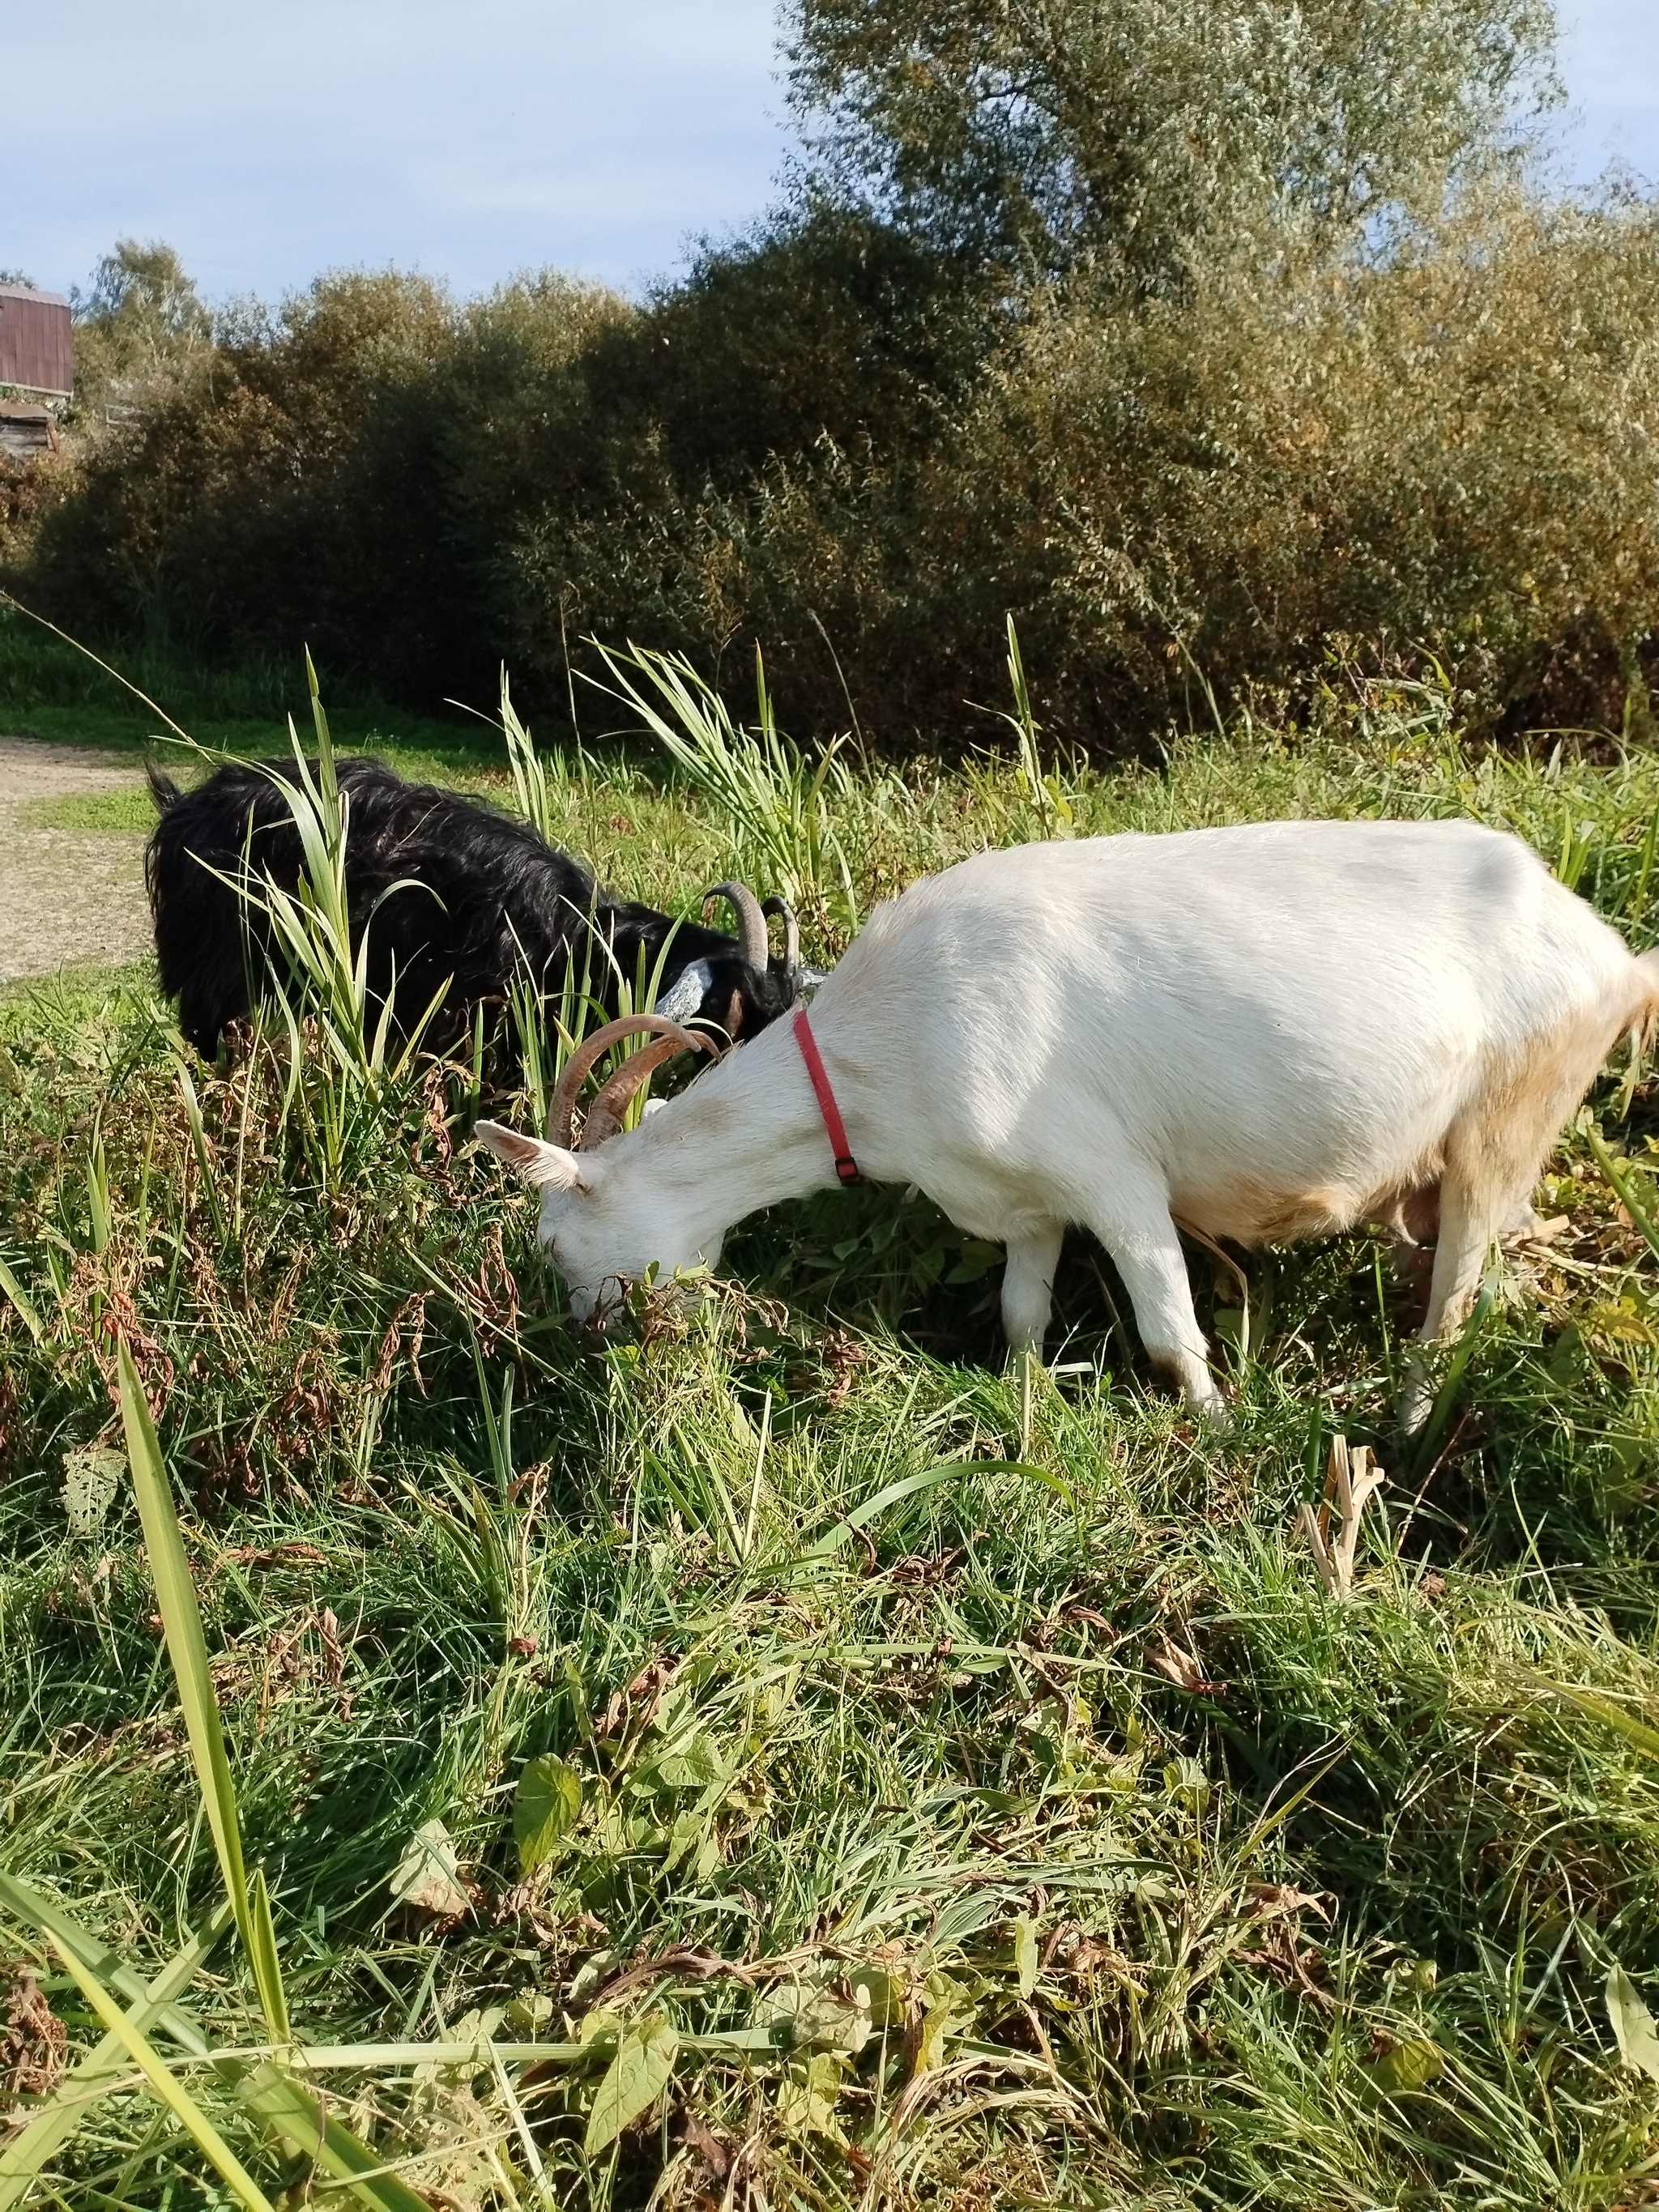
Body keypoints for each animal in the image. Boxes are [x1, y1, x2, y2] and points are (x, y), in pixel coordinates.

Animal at [471, 822, 1659, 1424]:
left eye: (554, 1242)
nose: (581, 1337)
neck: (876, 1050)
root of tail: (1606, 948)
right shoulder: (1021, 1196)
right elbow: (1021, 1312)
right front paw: (1024, 1401)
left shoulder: (1112, 1176)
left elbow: (1171, 1330)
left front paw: (1214, 1438)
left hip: (1509, 1115)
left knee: (1452, 1302)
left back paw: (1402, 1432)